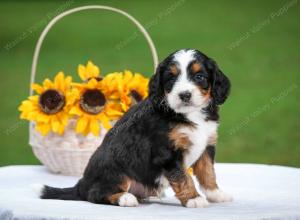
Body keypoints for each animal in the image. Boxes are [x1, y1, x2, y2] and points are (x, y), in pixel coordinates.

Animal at [37, 49, 233, 208]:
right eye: (171, 78)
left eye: (199, 76)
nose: (184, 95)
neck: (189, 114)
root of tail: (81, 184)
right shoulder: (167, 152)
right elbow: (183, 177)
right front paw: (194, 198)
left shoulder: (206, 145)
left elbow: (208, 172)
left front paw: (216, 194)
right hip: (116, 170)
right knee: (95, 194)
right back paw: (124, 198)